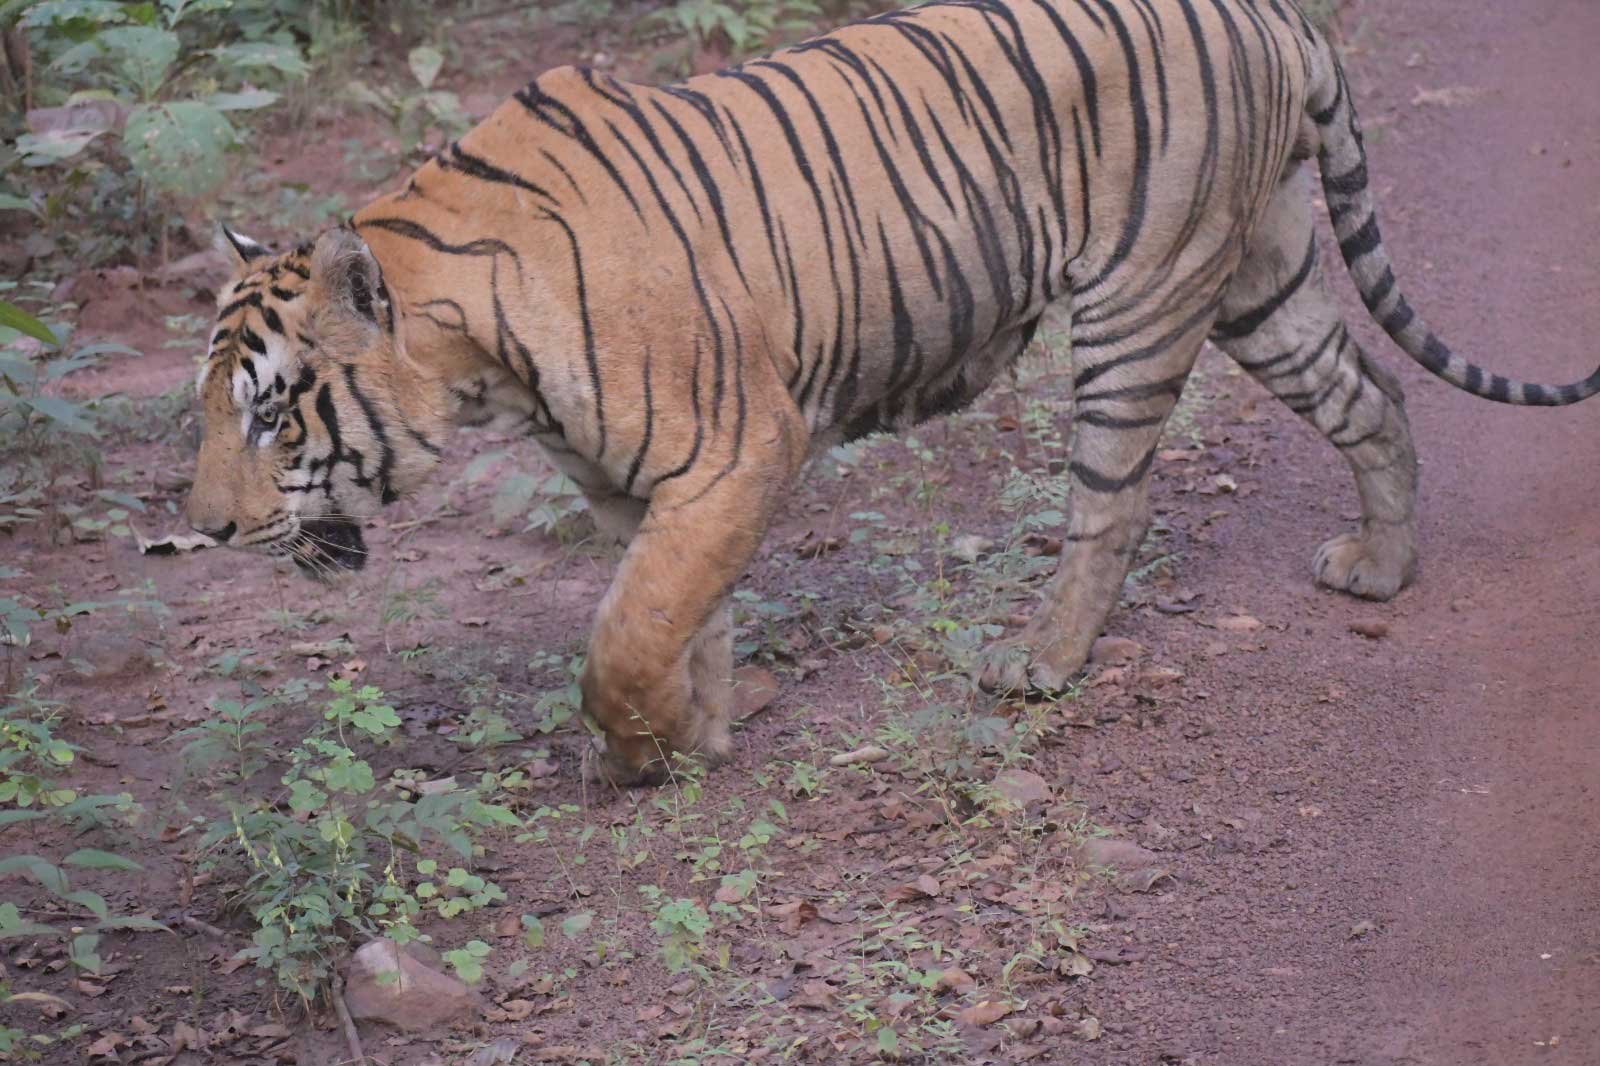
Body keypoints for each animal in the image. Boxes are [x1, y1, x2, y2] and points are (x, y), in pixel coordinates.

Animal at [184, 0, 1600, 785]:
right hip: (1262, 271)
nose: (201, 529)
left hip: (1142, 298)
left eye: (270, 410)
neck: (484, 366)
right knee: (1372, 394)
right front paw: (695, 735)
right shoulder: (640, 487)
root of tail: (1270, 14)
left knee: (1113, 502)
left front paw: (642, 753)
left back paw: (1039, 662)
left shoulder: (738, 446)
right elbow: (675, 614)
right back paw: (1381, 567)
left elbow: (624, 636)